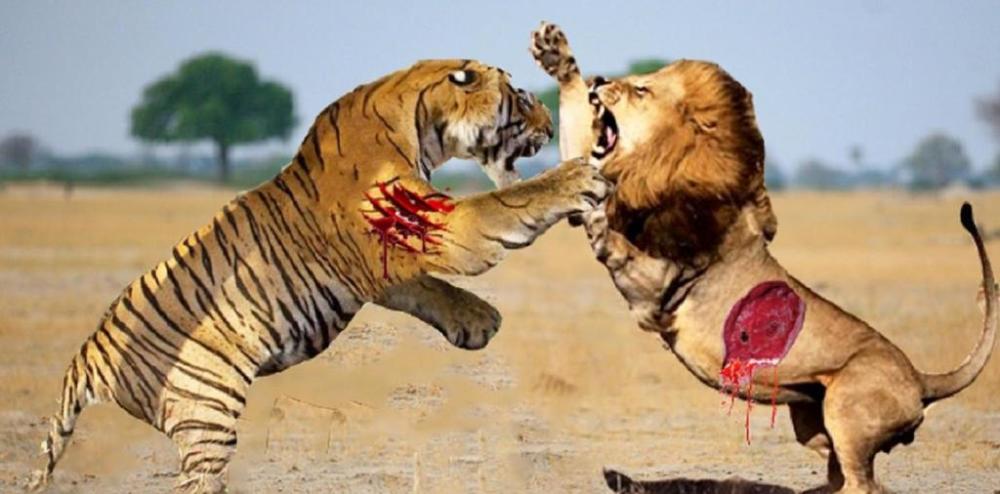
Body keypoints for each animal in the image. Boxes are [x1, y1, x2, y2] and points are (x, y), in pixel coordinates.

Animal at [28, 59, 609, 493]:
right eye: (521, 96)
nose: (551, 126)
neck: (419, 121)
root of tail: (84, 359)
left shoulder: (382, 260)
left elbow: (427, 289)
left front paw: (477, 320)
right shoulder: (430, 223)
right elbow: (509, 203)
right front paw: (576, 176)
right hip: (206, 407)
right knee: (196, 480)